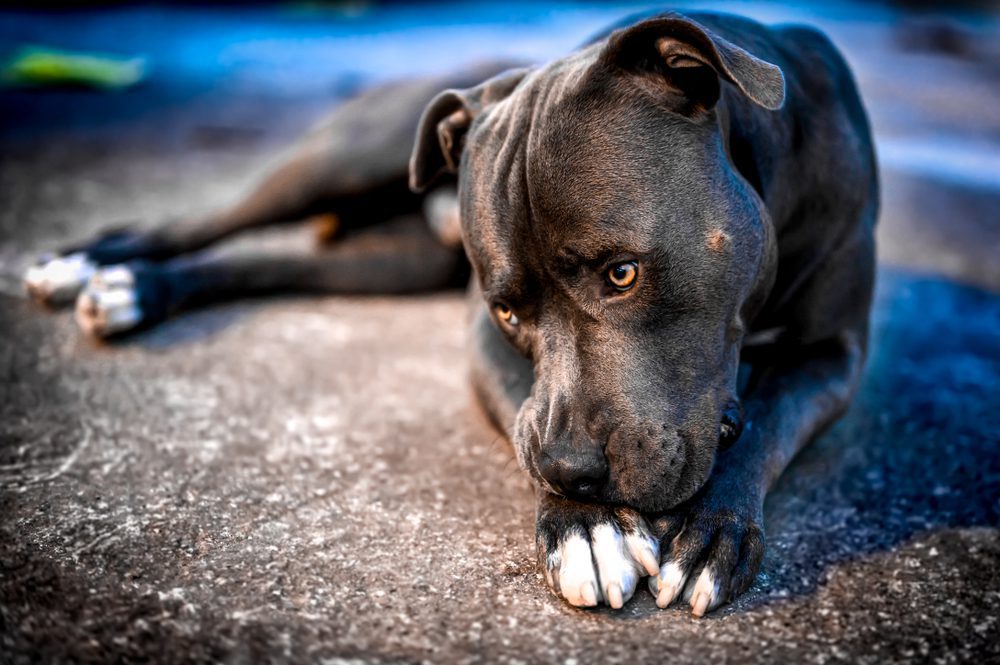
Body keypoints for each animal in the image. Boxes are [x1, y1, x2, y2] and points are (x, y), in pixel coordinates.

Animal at [25, 10, 876, 616]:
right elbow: (530, 413)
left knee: (255, 260)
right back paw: (92, 263)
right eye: (508, 313)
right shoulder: (482, 343)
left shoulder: (834, 354)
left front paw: (711, 531)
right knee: (209, 221)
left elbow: (768, 419)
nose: (574, 471)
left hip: (389, 261)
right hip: (344, 155)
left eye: (623, 272)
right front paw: (585, 527)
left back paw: (134, 287)